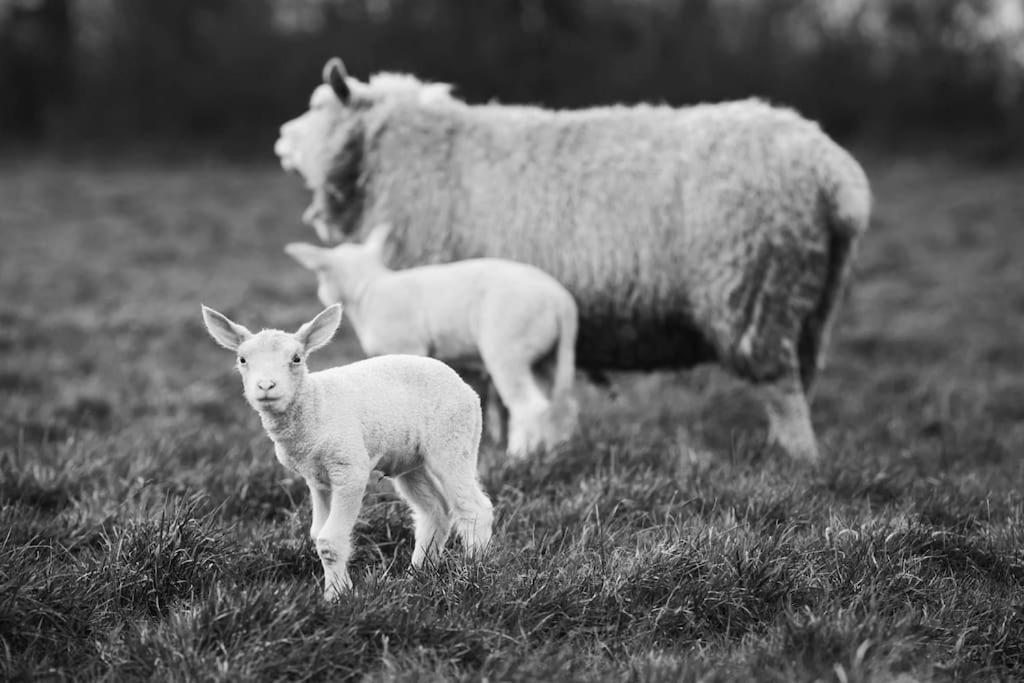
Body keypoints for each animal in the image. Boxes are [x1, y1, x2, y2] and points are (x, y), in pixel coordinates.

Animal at [200, 303, 495, 598]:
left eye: (296, 359)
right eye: (242, 360)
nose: (265, 386)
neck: (315, 403)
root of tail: (464, 386)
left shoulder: (349, 468)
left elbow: (329, 540)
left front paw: (336, 596)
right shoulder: (316, 478)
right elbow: (318, 533)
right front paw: (338, 588)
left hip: (453, 440)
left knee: (474, 508)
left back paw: (472, 572)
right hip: (411, 461)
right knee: (435, 512)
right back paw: (417, 575)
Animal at [284, 224, 581, 458]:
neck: (368, 287)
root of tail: (562, 301)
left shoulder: (406, 348)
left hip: (508, 347)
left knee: (530, 406)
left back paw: (519, 454)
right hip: (548, 356)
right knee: (562, 404)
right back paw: (554, 448)